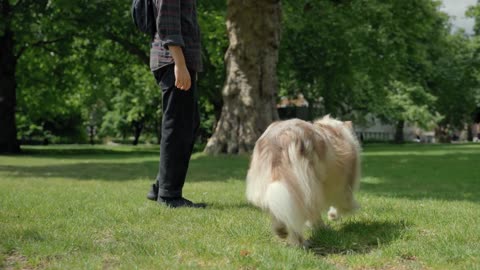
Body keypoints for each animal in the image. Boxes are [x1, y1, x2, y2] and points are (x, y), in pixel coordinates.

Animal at [248, 116, 360, 247]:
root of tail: (280, 139)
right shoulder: (344, 185)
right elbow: (342, 204)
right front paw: (332, 217)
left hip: (277, 186)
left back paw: (281, 231)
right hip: (306, 186)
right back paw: (302, 243)